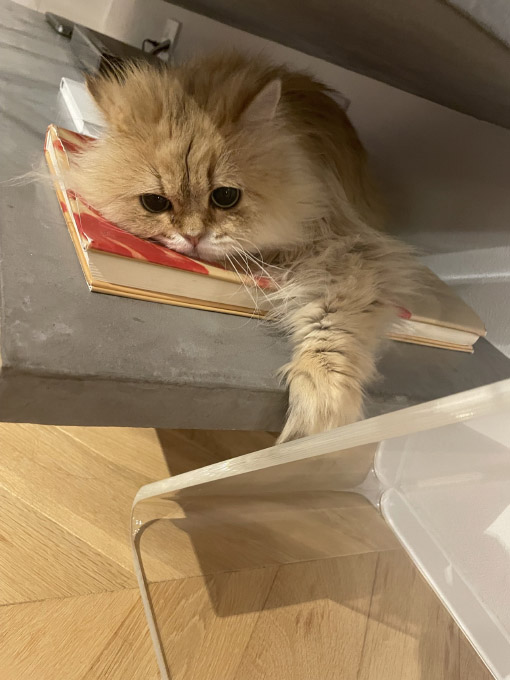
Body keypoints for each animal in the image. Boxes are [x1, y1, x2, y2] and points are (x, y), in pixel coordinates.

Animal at [69, 52, 419, 442]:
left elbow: (333, 324)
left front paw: (318, 410)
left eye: (225, 197)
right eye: (155, 203)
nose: (193, 236)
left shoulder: (349, 247)